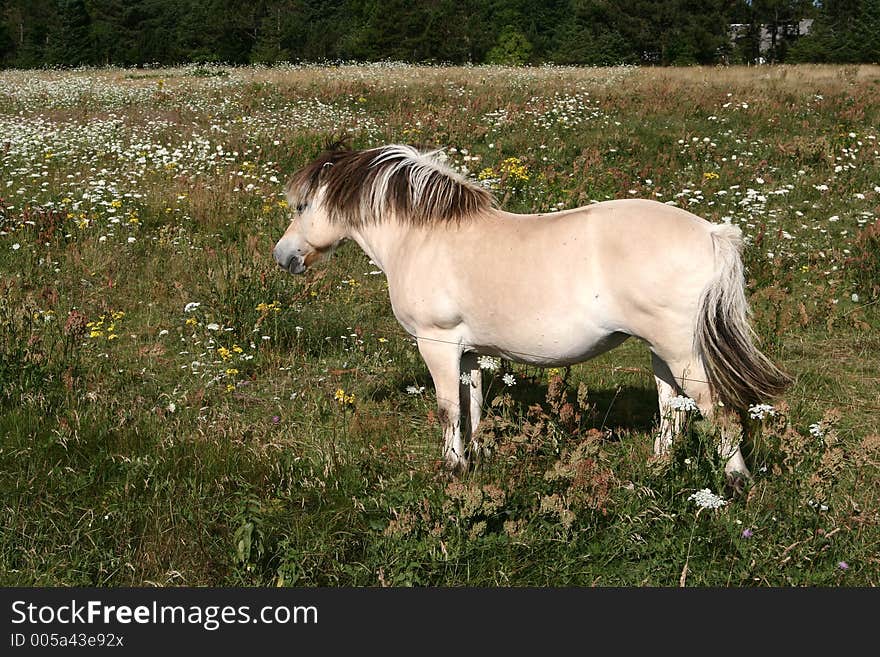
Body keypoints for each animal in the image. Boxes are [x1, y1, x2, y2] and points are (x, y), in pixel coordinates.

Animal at [270, 146, 792, 480]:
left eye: (302, 205)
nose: (283, 256)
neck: (425, 237)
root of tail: (712, 233)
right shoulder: (468, 352)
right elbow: (471, 407)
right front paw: (474, 460)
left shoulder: (437, 343)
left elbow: (446, 409)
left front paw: (452, 470)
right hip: (661, 352)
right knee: (673, 413)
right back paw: (656, 469)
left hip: (683, 352)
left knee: (720, 413)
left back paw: (735, 484)